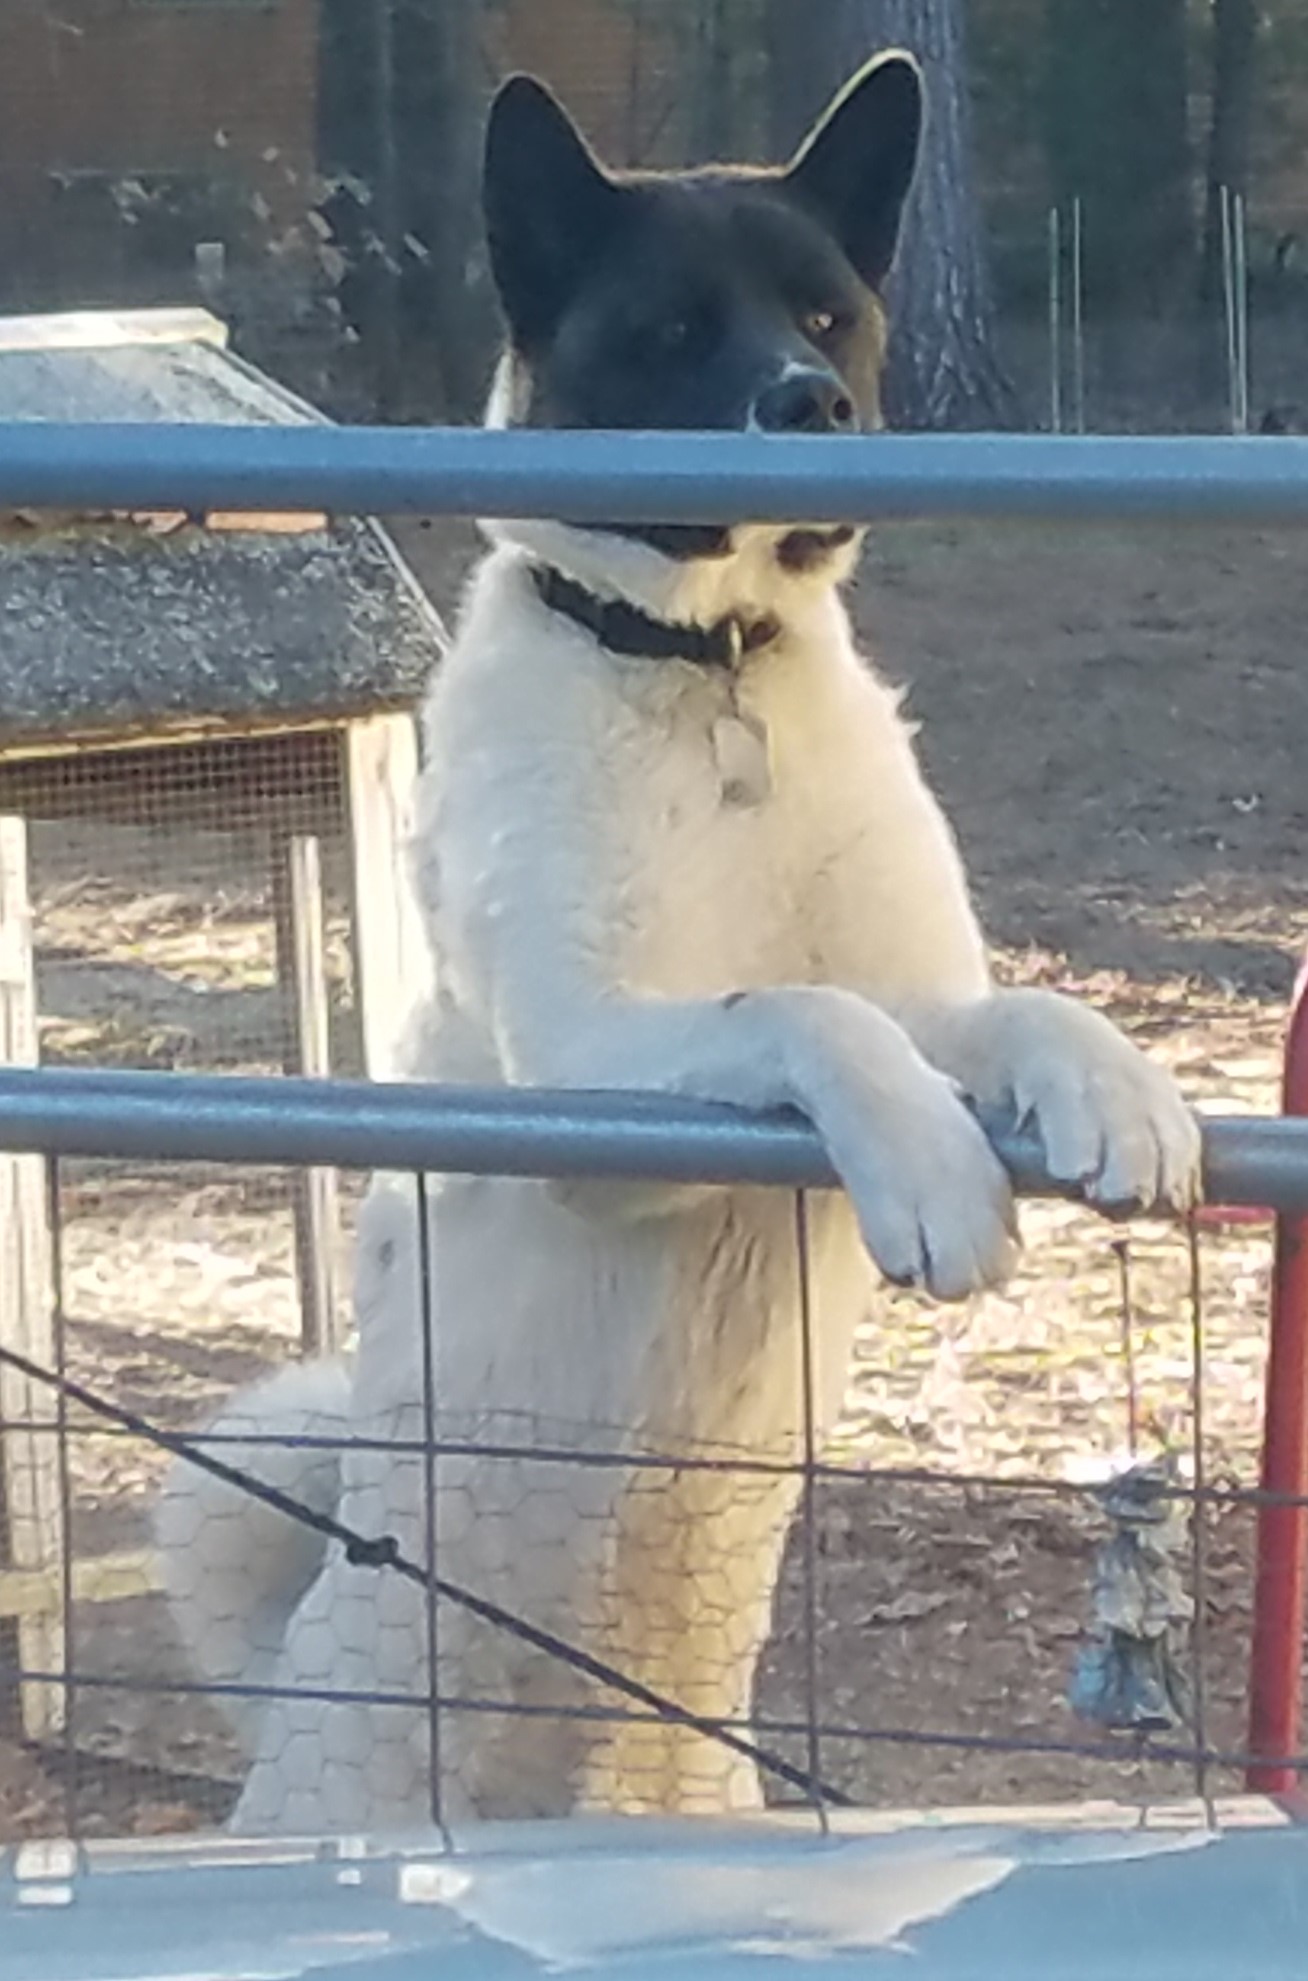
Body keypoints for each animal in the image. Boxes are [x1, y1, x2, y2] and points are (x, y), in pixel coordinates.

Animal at [153, 54, 1197, 1830]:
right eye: (671, 328)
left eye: (826, 314)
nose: (813, 407)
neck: (706, 675)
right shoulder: (584, 1073)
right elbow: (802, 1012)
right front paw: (932, 1174)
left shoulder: (928, 989)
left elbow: (1011, 1006)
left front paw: (1119, 1093)